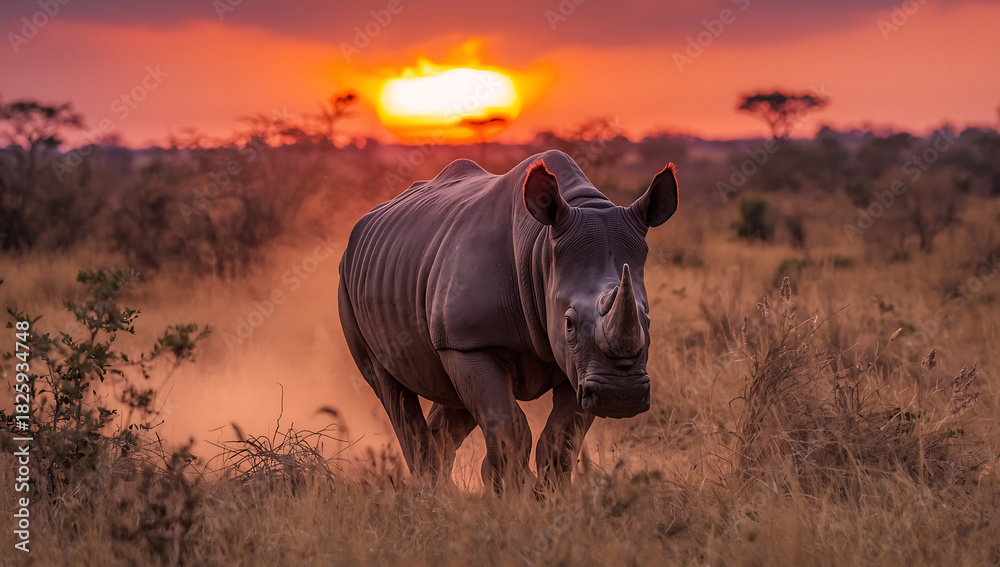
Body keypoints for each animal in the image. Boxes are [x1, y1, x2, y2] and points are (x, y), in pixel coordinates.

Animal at [338, 150, 678, 491]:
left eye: (647, 319)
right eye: (568, 323)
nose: (621, 396)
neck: (541, 252)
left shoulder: (582, 368)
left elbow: (561, 437)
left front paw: (548, 495)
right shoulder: (468, 341)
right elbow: (508, 426)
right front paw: (514, 494)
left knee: (453, 398)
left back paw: (441, 492)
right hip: (348, 284)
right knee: (389, 385)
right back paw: (431, 492)